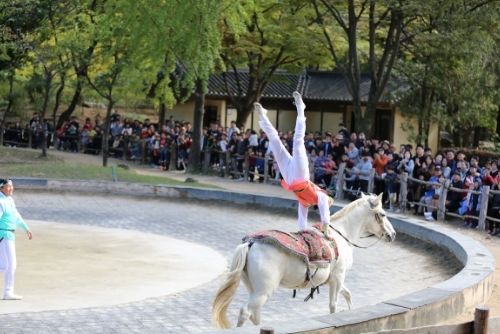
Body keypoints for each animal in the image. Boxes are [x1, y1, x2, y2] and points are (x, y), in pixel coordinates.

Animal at [210, 193, 394, 328]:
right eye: (383, 214)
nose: (392, 234)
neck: (341, 235)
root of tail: (251, 243)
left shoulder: (334, 279)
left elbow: (348, 294)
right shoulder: (338, 278)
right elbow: (333, 305)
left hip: (254, 289)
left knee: (255, 314)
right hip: (263, 291)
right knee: (246, 312)